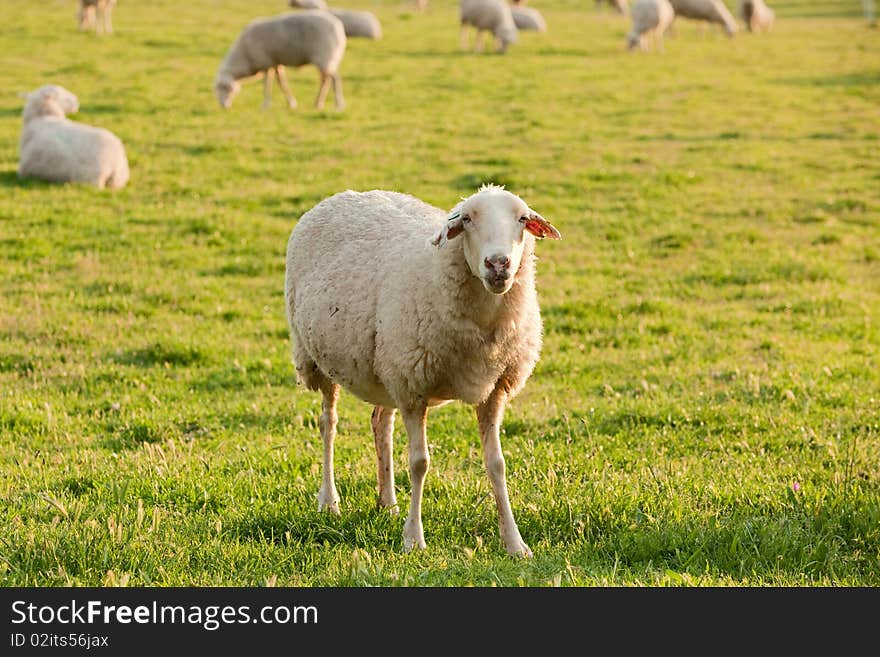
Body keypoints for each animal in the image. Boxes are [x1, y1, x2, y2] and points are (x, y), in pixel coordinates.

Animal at [214, 10, 348, 111]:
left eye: (223, 89)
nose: (224, 107)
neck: (243, 55)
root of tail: (338, 26)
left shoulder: (266, 63)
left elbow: (267, 85)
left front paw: (265, 105)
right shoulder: (276, 64)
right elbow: (282, 84)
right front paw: (291, 103)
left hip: (324, 55)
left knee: (334, 79)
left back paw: (337, 105)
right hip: (326, 58)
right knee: (326, 79)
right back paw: (318, 103)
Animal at [288, 183, 564, 552]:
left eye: (522, 219)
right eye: (467, 219)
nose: (497, 264)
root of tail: (347, 193)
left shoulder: (493, 389)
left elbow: (497, 464)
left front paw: (515, 543)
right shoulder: (413, 387)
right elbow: (420, 463)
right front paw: (413, 539)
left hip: (387, 367)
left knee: (381, 422)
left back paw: (387, 502)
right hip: (317, 357)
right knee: (328, 424)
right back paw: (329, 500)